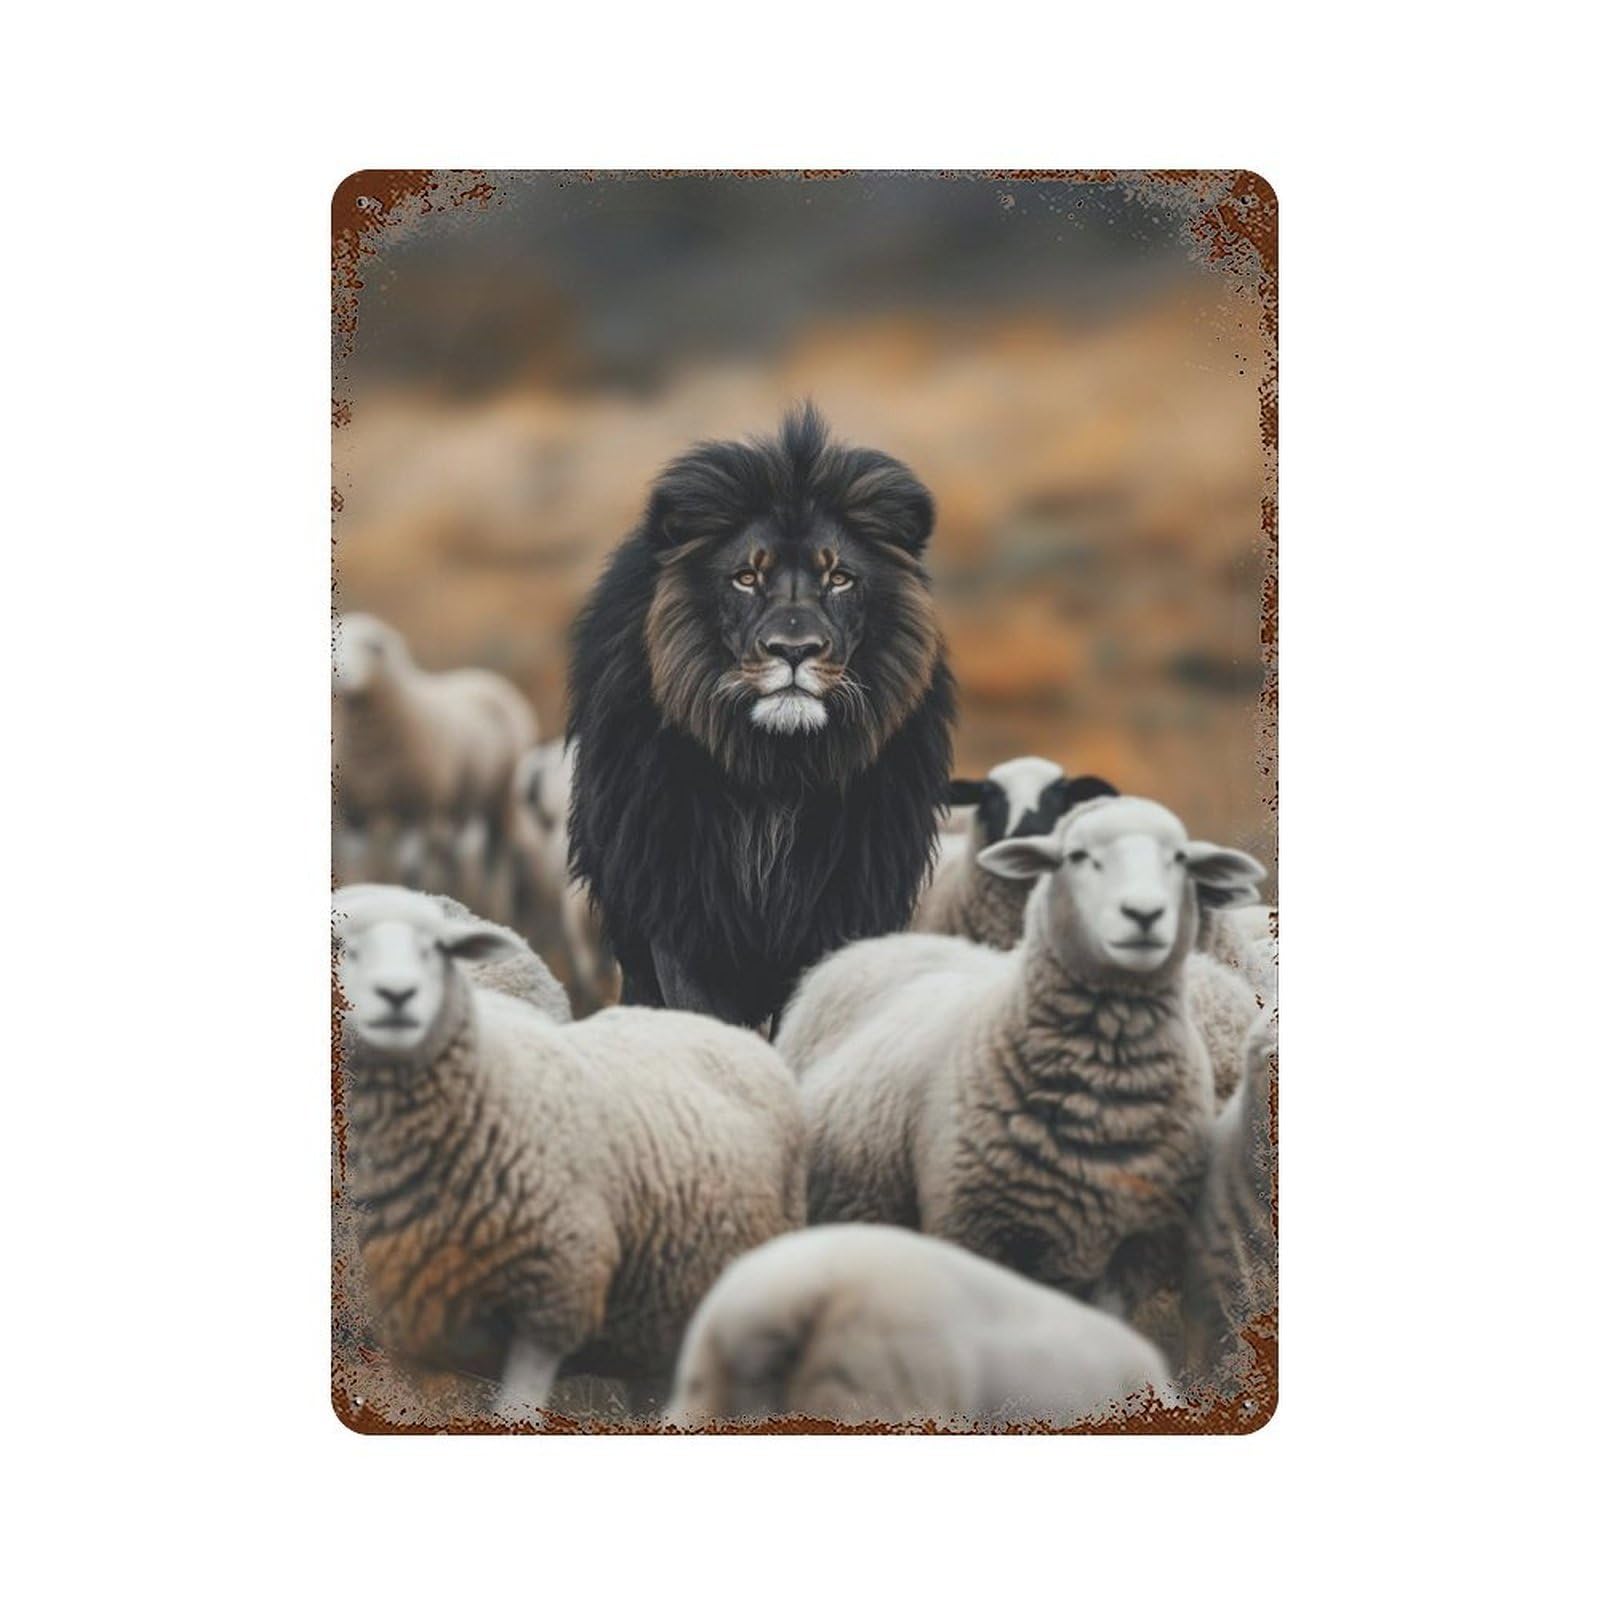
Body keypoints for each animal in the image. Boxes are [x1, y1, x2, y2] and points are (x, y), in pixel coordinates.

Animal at [332, 613, 539, 905]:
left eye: (371, 647)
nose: (342, 676)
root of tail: (485, 675)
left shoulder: (418, 808)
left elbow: (411, 869)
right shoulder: (355, 813)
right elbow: (358, 865)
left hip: (501, 798)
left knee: (494, 857)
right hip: (460, 804)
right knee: (454, 855)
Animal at [567, 404, 956, 1028]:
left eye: (838, 578)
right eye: (746, 578)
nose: (793, 651)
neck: (776, 769)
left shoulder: (840, 913)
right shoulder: (683, 918)